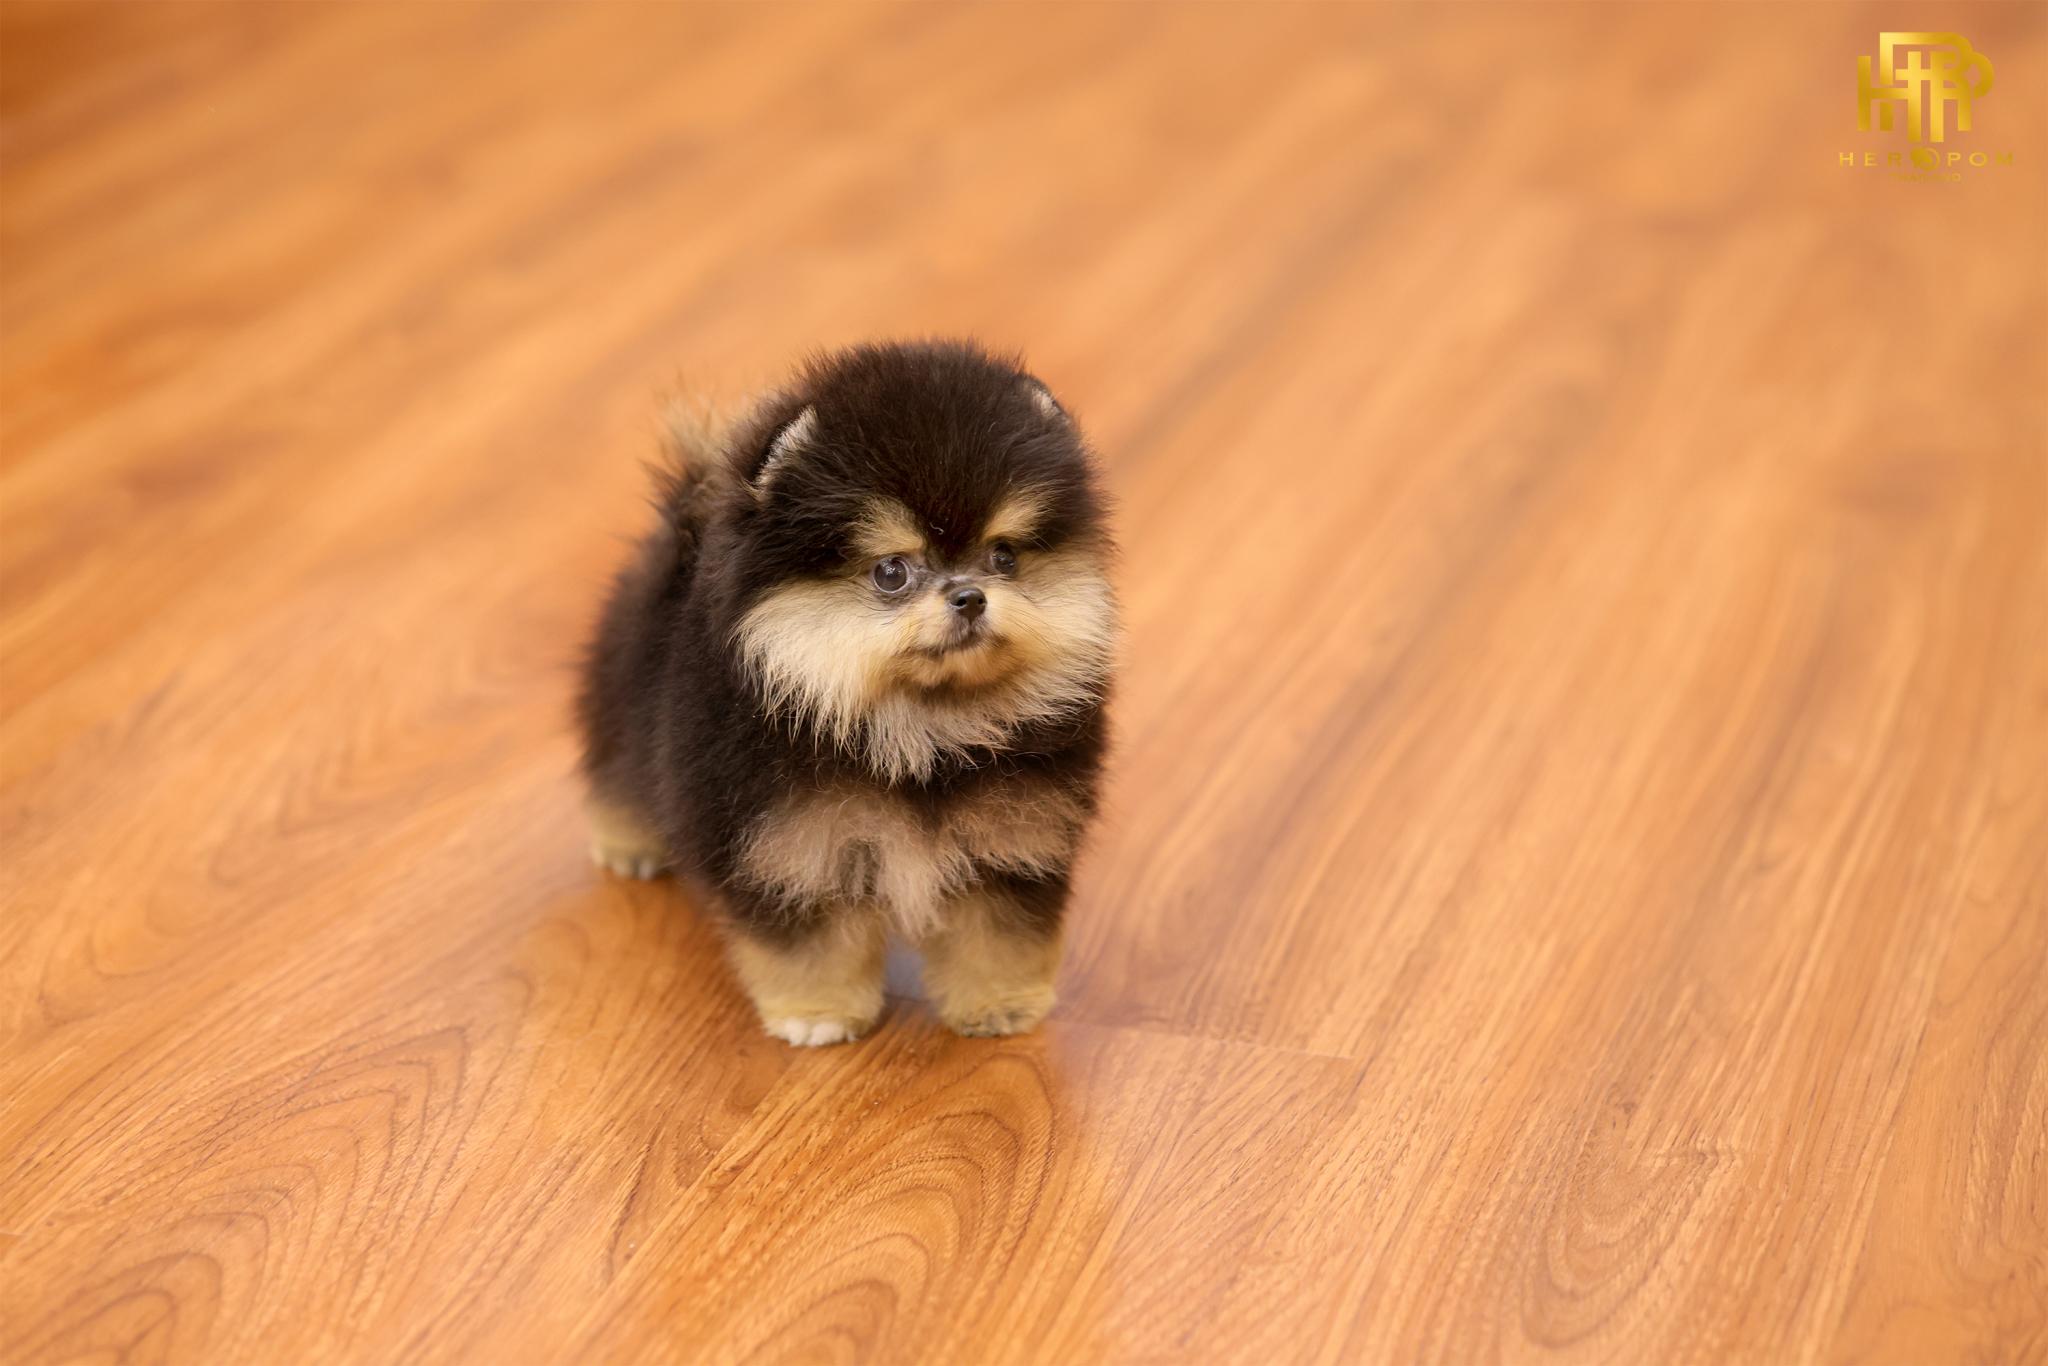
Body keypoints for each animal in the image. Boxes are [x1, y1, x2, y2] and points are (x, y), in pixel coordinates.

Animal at [578, 340, 1117, 1045]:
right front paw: (817, 1013)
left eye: (1004, 556)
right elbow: (813, 945)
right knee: (620, 773)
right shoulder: (792, 847)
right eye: (892, 571)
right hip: (625, 702)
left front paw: (999, 1002)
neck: (920, 726)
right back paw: (629, 843)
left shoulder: (1014, 839)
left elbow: (997, 934)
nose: (970, 597)